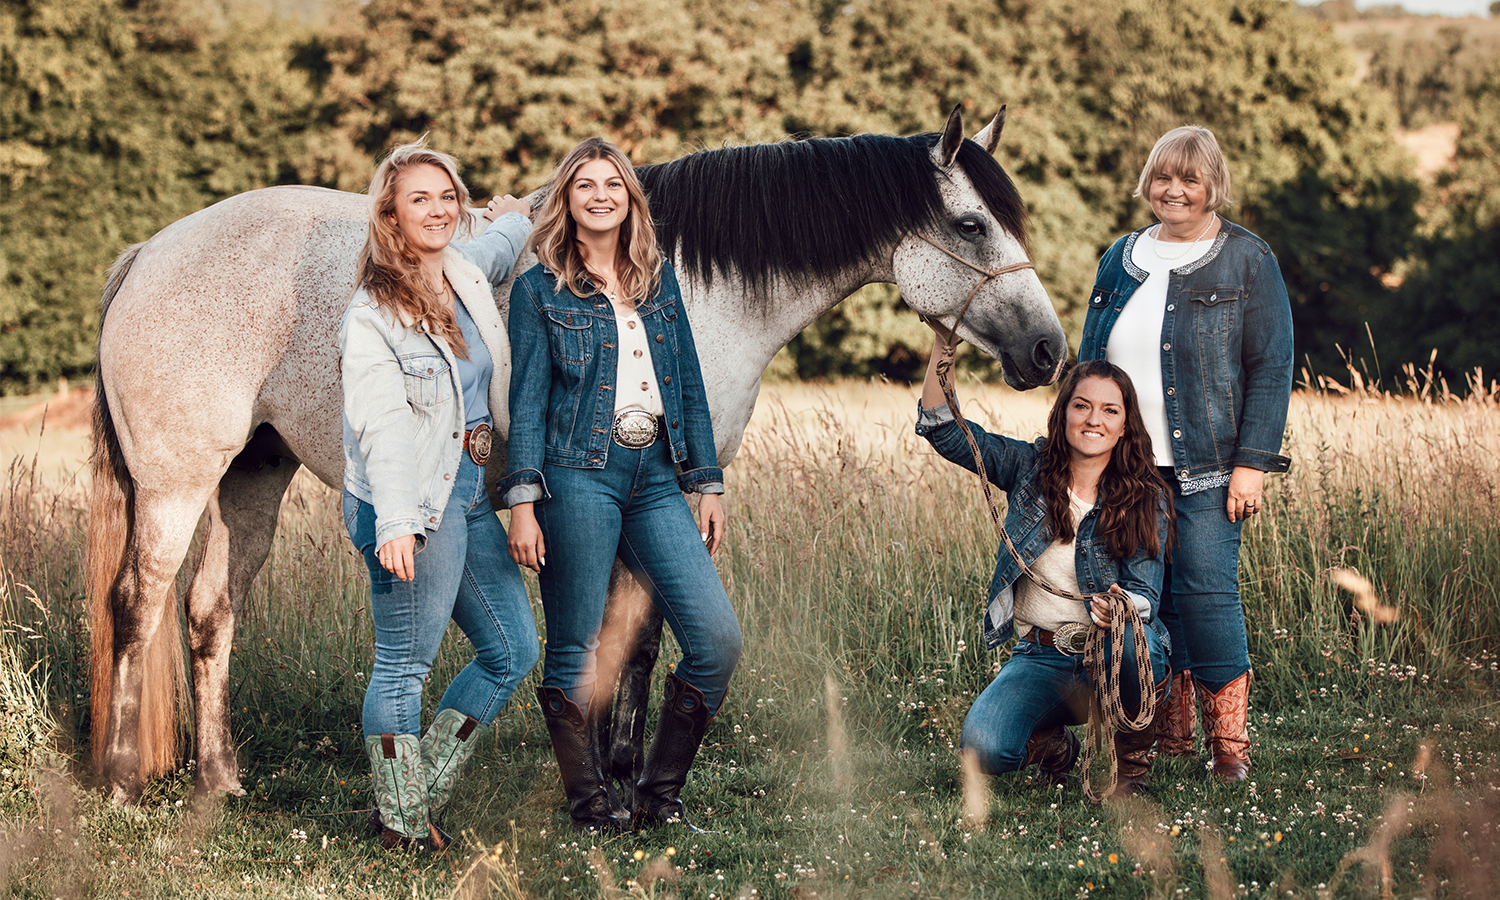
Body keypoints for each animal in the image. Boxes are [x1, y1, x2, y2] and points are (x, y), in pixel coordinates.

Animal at [88, 105, 1066, 802]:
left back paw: (221, 780)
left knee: (209, 612)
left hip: (252, 472)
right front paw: (616, 771)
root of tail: (149, 253)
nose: (1048, 352)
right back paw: (124, 779)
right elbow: (629, 634)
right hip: (176, 482)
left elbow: (633, 636)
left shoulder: (660, 494)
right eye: (973, 226)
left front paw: (618, 763)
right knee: (137, 603)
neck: (681, 283)